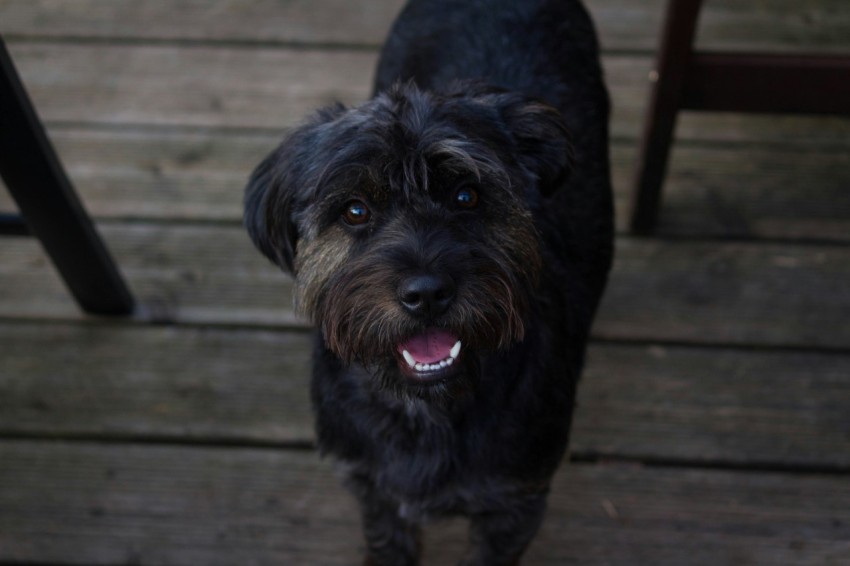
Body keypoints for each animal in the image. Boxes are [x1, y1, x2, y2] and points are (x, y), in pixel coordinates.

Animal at [243, 1, 608, 564]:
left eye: (466, 196)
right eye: (355, 210)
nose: (427, 294)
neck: (426, 410)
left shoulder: (514, 505)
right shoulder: (373, 491)